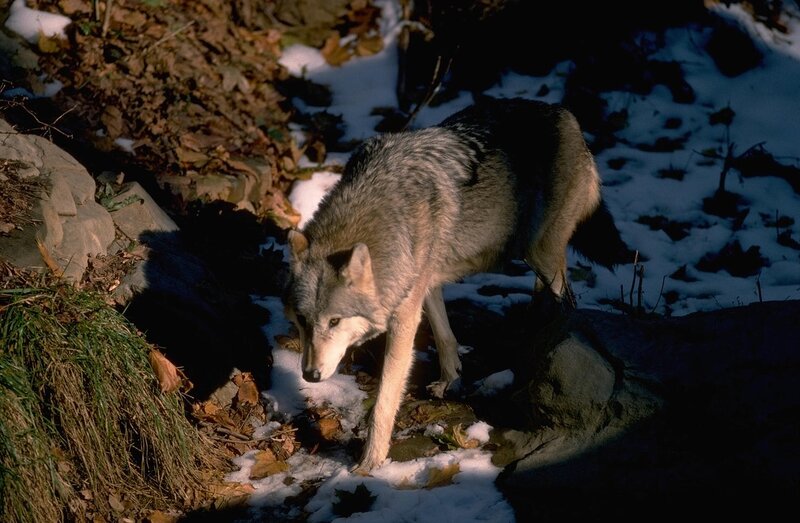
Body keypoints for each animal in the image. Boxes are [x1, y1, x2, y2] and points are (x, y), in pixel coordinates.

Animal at [284, 97, 630, 472]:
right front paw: (451, 379)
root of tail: (566, 115)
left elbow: (384, 401)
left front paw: (371, 461)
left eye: (334, 321)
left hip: (540, 254)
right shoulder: (424, 281)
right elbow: (444, 335)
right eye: (302, 321)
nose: (310, 375)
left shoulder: (404, 317)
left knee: (567, 302)